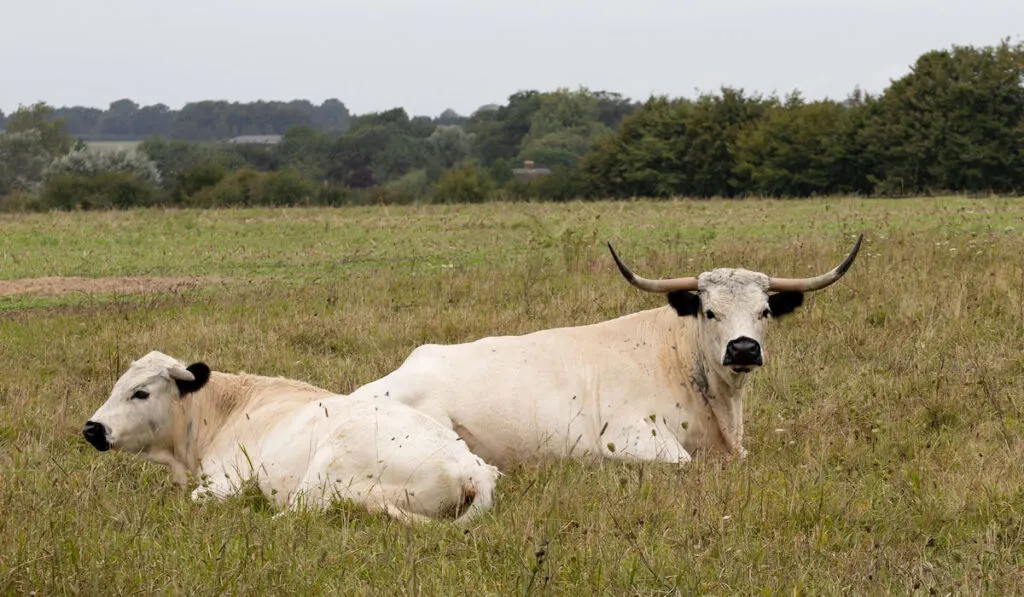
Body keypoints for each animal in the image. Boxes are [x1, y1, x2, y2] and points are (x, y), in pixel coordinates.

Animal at [86, 350, 501, 524]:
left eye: (140, 392)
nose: (93, 428)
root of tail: (471, 467)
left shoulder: (228, 481)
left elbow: (200, 497)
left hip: (323, 472)